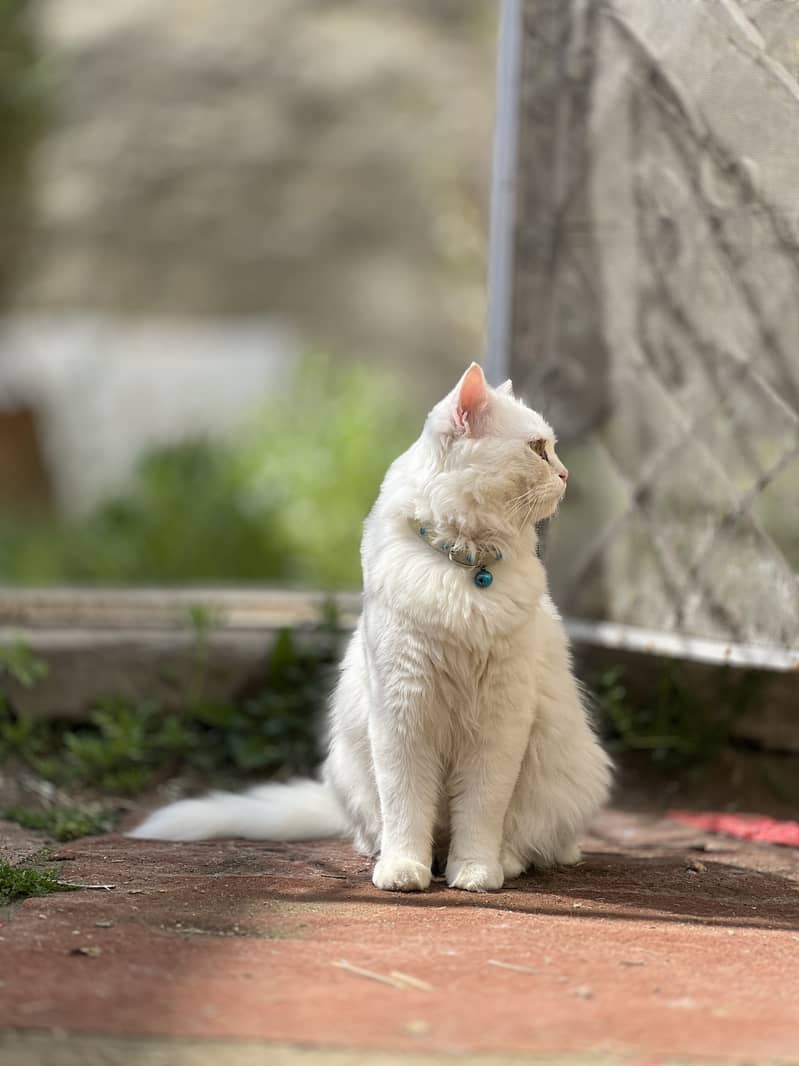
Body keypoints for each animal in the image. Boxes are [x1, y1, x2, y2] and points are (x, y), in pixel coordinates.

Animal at [134, 366, 617, 891]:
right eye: (537, 448)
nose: (565, 475)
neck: (465, 565)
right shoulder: (402, 712)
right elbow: (406, 808)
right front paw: (404, 870)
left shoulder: (498, 722)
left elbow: (480, 812)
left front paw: (474, 872)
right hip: (351, 763)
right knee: (379, 828)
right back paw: (391, 853)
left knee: (542, 843)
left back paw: (505, 861)